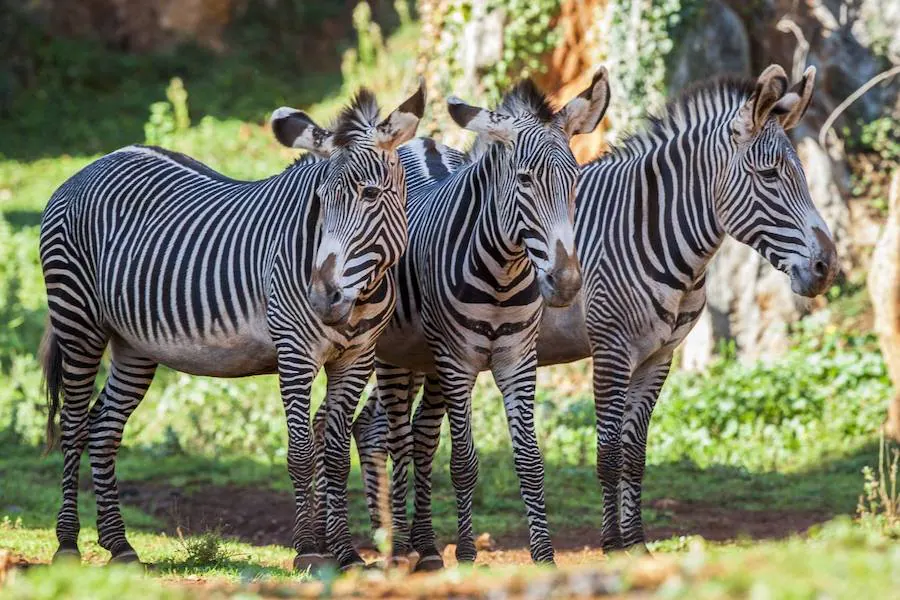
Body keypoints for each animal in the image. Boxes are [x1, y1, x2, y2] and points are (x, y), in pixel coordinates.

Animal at [38, 83, 426, 568]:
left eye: (370, 195)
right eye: (319, 202)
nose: (322, 299)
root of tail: (90, 167)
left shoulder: (357, 358)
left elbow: (336, 456)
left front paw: (345, 554)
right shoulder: (294, 353)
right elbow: (301, 451)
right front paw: (306, 550)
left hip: (133, 347)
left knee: (103, 428)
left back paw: (120, 545)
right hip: (78, 321)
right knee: (73, 425)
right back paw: (68, 543)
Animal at [352, 63, 836, 564]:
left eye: (801, 174)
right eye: (770, 175)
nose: (826, 266)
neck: (648, 230)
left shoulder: (658, 357)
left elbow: (635, 453)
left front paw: (638, 543)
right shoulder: (611, 350)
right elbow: (608, 453)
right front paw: (613, 546)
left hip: (422, 353)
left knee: (378, 426)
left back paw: (401, 544)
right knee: (383, 428)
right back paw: (392, 547)